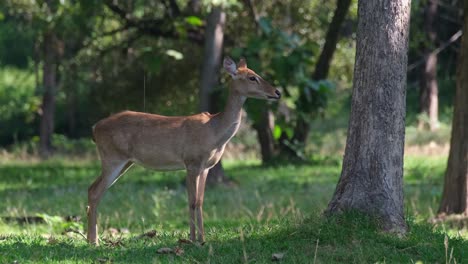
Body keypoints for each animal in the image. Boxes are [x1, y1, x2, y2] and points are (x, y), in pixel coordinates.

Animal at [86, 56, 280, 244]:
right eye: (252, 77)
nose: (277, 92)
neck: (214, 132)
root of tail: (95, 128)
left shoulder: (205, 167)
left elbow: (200, 201)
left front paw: (202, 239)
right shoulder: (191, 162)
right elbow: (192, 201)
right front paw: (192, 239)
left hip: (125, 162)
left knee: (91, 188)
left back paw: (91, 238)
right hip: (112, 158)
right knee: (95, 192)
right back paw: (94, 241)